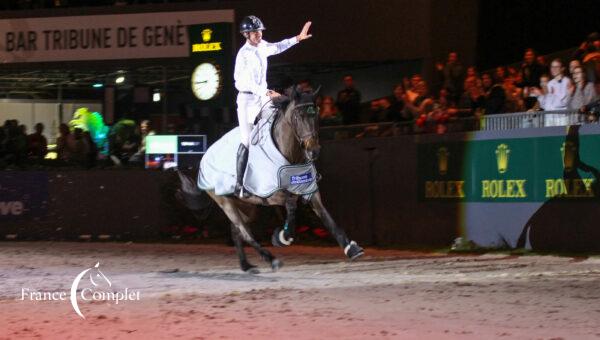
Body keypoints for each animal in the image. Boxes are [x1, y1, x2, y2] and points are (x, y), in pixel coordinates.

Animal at [178, 87, 364, 274]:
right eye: (298, 116)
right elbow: (291, 206)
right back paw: (271, 259)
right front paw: (282, 237)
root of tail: (204, 158)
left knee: (236, 231)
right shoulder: (272, 194)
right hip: (224, 201)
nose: (313, 151)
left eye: (316, 114)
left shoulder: (309, 189)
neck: (291, 156)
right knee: (244, 232)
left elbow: (327, 218)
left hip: (245, 205)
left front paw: (352, 249)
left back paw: (246, 265)